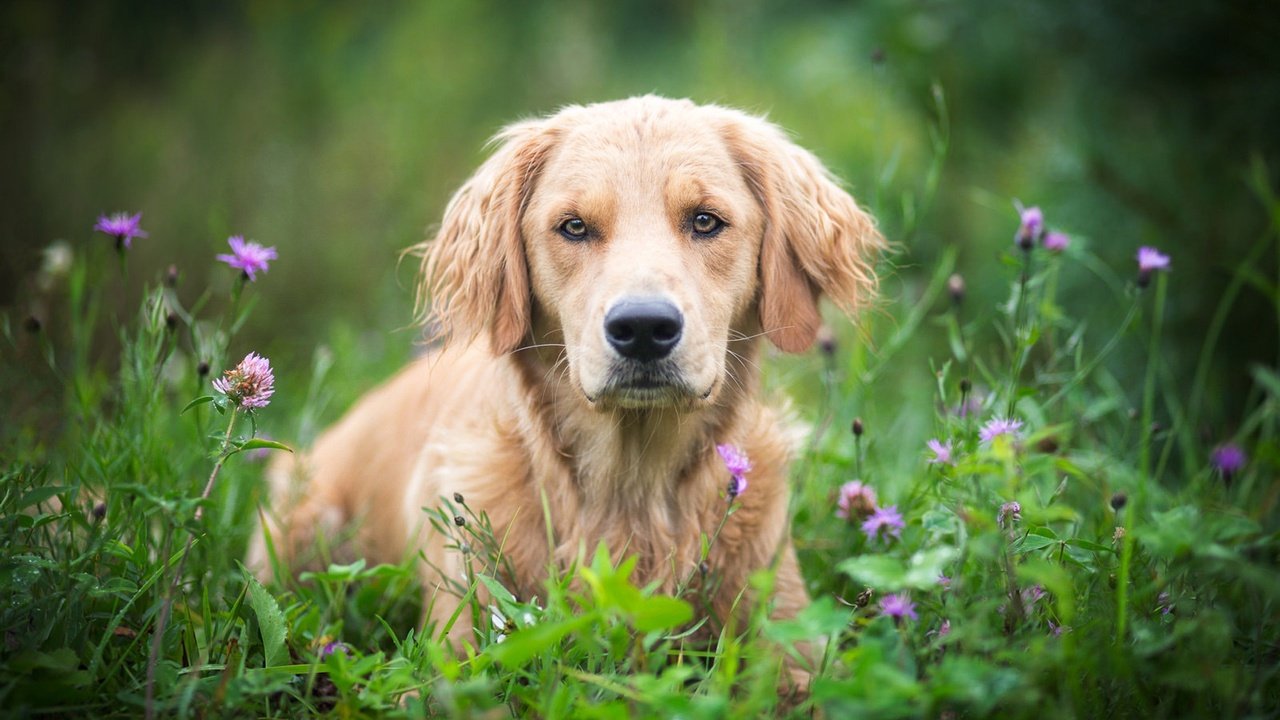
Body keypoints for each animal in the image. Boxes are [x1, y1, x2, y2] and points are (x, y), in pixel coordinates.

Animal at [244, 95, 880, 666]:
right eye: (574, 227)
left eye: (705, 220)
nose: (643, 328)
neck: (630, 492)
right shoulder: (460, 640)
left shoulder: (792, 635)